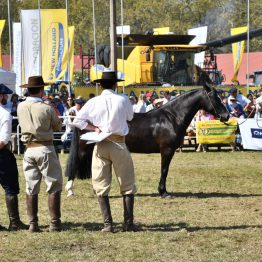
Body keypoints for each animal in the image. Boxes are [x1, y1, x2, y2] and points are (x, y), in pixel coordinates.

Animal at [65, 83, 229, 198]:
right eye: (214, 98)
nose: (226, 116)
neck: (172, 117)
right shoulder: (167, 150)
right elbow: (164, 170)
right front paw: (163, 192)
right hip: (83, 149)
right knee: (75, 165)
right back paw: (70, 191)